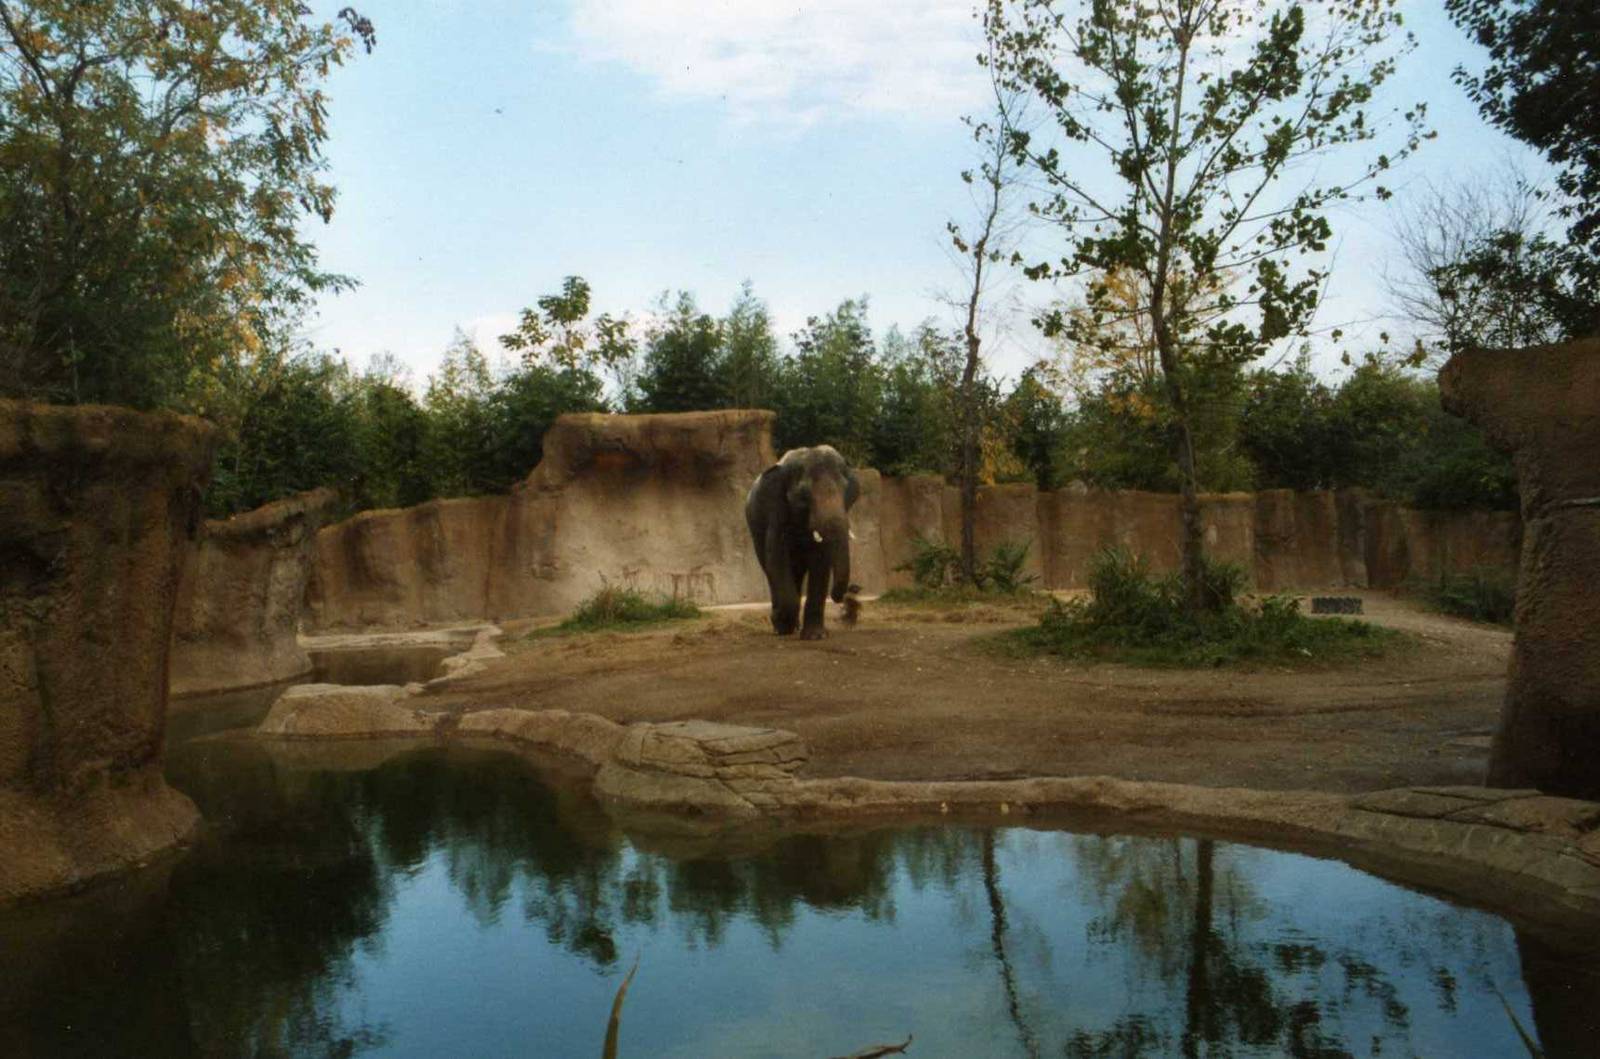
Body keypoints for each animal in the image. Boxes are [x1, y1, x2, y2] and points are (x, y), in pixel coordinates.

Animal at [745, 445, 860, 640]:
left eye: (846, 491)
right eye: (804, 496)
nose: (843, 597)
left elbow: (821, 562)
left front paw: (816, 636)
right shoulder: (775, 509)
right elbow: (776, 559)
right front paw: (781, 624)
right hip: (755, 529)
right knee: (770, 569)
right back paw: (783, 627)